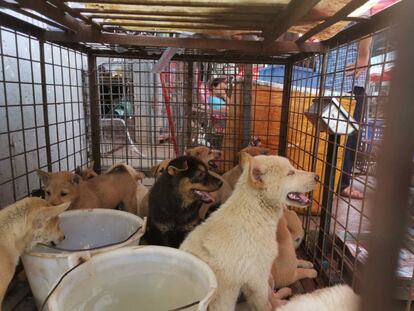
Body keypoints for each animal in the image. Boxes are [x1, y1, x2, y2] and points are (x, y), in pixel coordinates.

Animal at [180, 154, 318, 311]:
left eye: (293, 168)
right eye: (290, 173)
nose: (317, 177)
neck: (255, 212)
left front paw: (306, 263)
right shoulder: (258, 277)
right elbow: (265, 304)